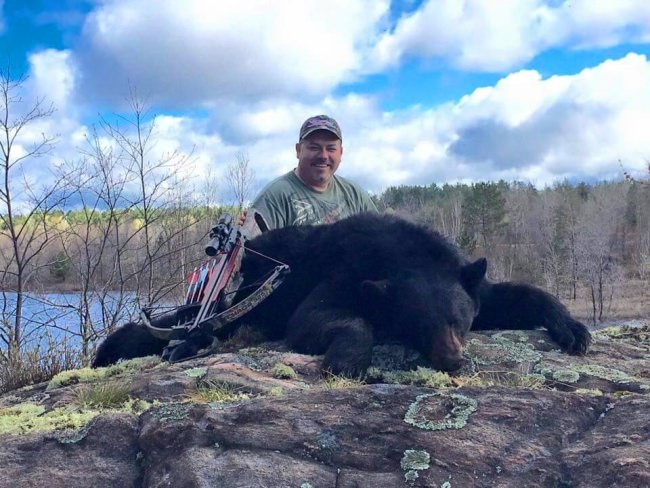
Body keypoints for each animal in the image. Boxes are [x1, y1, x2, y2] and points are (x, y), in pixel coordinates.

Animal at [93, 212, 591, 376]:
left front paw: (574, 329)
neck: (402, 255)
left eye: (459, 319)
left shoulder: (467, 279)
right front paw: (346, 359)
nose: (451, 360)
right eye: (417, 323)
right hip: (239, 299)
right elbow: (323, 318)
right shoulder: (342, 276)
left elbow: (518, 295)